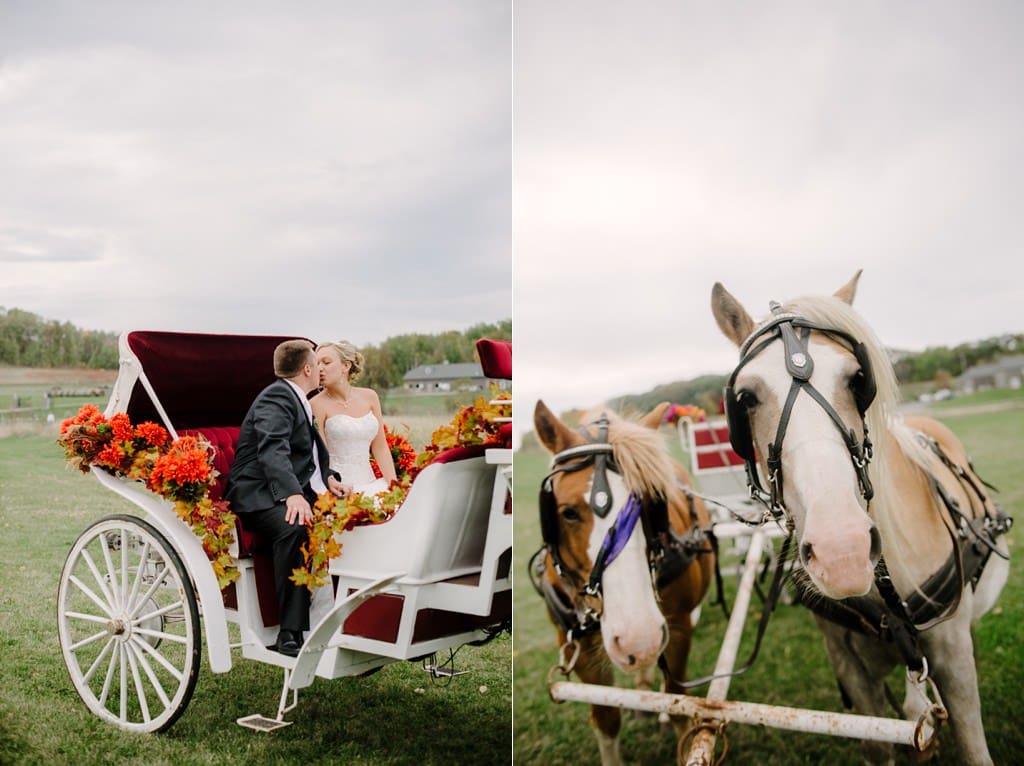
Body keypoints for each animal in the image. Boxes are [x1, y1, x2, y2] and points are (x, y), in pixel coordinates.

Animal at [531, 400, 715, 766]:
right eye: (568, 512)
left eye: (651, 502)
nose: (638, 639)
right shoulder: (578, 647)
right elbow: (606, 720)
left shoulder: (677, 629)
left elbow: (677, 703)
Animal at [711, 270, 1011, 765]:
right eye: (745, 397)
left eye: (856, 380)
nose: (842, 552)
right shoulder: (848, 666)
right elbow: (878, 739)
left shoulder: (953, 655)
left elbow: (971, 741)